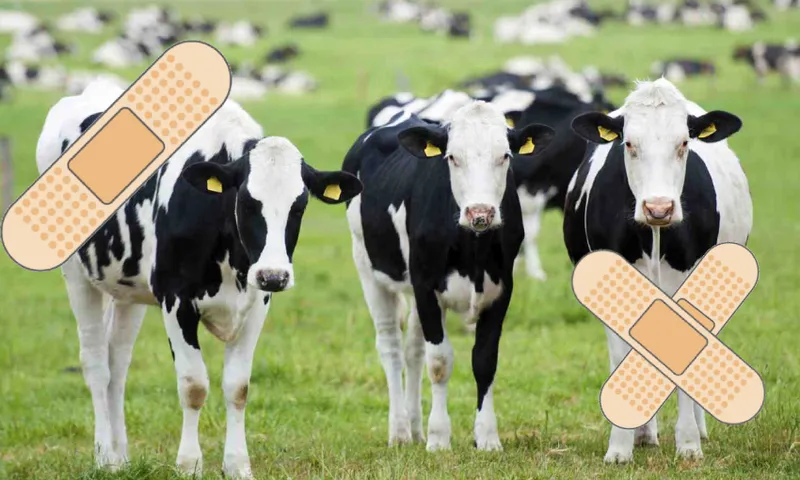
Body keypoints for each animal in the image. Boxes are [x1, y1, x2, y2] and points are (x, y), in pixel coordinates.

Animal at [35, 79, 362, 478]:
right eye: (247, 203)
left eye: (299, 207)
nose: (274, 275)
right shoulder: (176, 300)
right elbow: (193, 385)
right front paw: (189, 464)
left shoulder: (257, 303)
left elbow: (238, 387)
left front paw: (238, 465)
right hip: (76, 276)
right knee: (96, 365)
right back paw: (105, 457)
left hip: (128, 290)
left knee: (118, 364)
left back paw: (121, 454)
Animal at [342, 102, 555, 450]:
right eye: (453, 157)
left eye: (505, 156)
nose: (480, 213)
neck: (473, 251)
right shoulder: (426, 286)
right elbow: (440, 362)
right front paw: (439, 438)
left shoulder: (501, 290)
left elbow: (484, 361)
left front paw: (487, 436)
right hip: (367, 266)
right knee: (391, 347)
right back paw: (400, 431)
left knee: (413, 350)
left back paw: (415, 429)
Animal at [563, 78, 752, 463]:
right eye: (629, 144)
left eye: (684, 143)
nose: (659, 208)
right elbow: (624, 354)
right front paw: (621, 445)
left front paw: (689, 442)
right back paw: (644, 434)